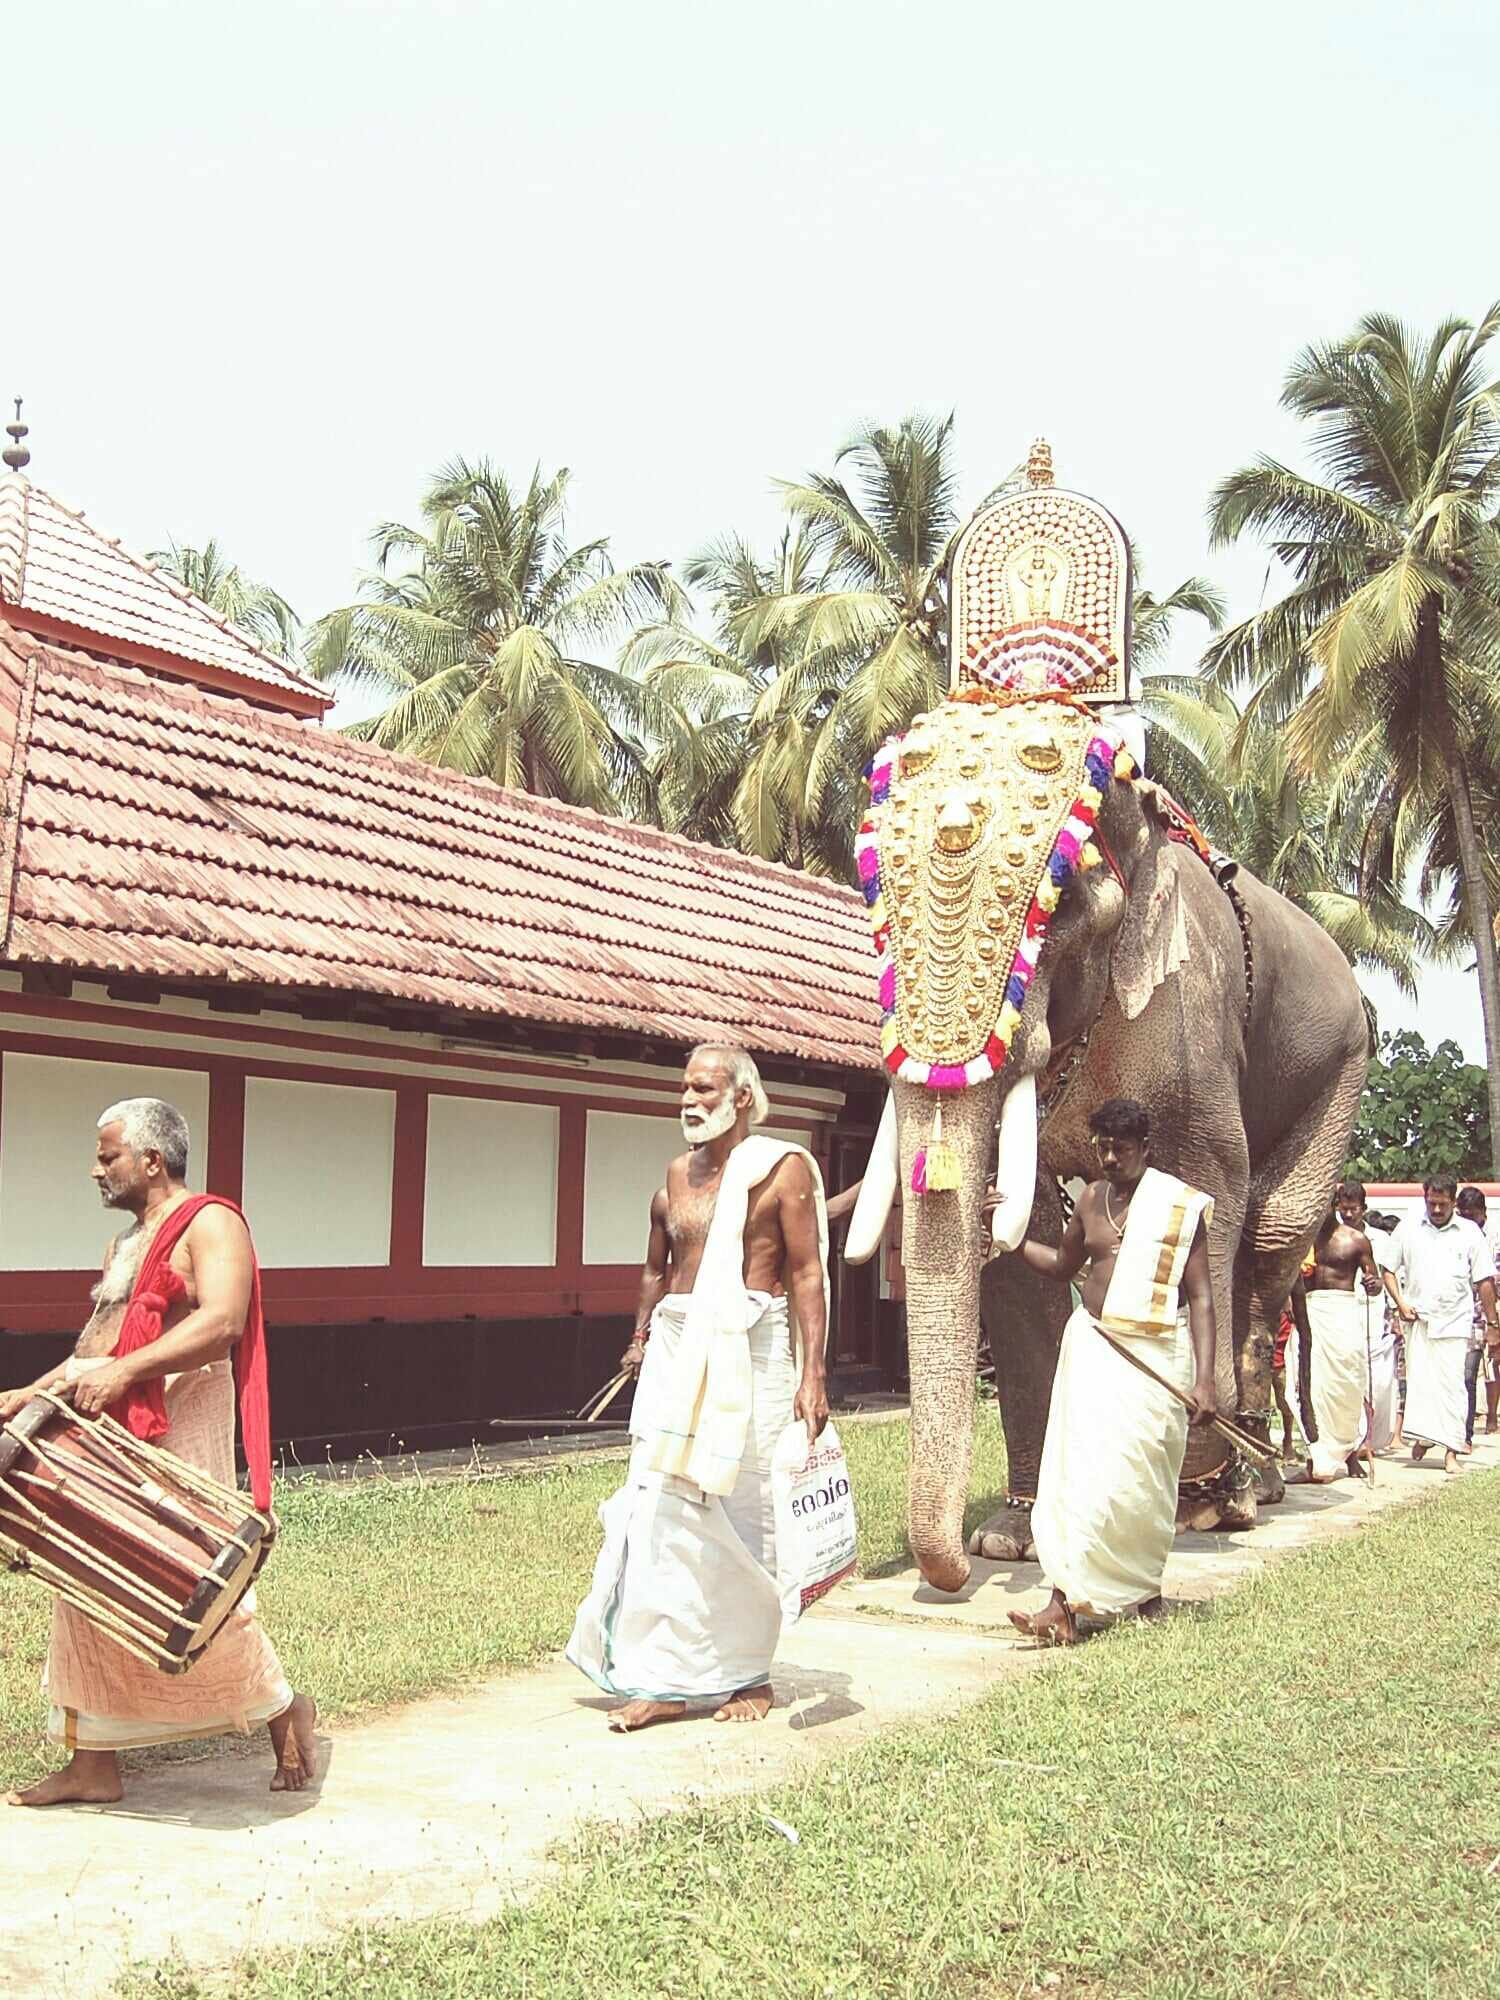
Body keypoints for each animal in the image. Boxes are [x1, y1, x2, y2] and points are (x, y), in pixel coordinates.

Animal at [848, 454, 1376, 1592]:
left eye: (1070, 903)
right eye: (868, 891)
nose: (946, 1571)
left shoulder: (1187, 1007)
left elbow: (1208, 1187)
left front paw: (1197, 1497)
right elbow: (1022, 1244)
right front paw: (1013, 1535)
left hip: (1347, 1058)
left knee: (1273, 1236)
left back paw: (1251, 1489)